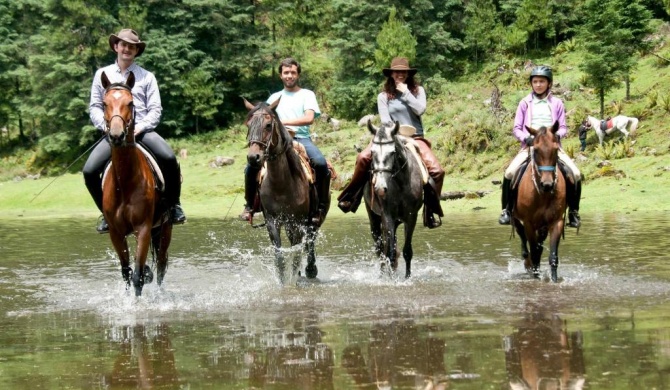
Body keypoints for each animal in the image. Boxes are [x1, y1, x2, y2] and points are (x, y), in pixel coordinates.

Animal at [101, 71, 173, 296]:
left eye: (130, 102)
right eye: (104, 103)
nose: (116, 136)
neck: (124, 182)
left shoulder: (143, 228)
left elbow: (138, 276)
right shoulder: (116, 233)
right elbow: (126, 272)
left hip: (164, 227)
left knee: (161, 265)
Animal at [247, 98, 330, 284]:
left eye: (268, 125)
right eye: (248, 125)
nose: (253, 157)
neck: (281, 185)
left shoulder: (298, 221)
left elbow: (297, 253)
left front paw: (294, 281)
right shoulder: (272, 221)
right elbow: (279, 255)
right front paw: (283, 282)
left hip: (313, 220)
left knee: (310, 242)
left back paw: (310, 270)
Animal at [364, 121, 422, 278]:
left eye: (392, 152)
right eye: (372, 152)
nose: (379, 188)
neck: (401, 183)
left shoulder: (411, 217)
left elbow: (407, 251)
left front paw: (407, 277)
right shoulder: (387, 216)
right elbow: (388, 253)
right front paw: (390, 279)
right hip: (375, 219)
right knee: (381, 250)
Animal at [516, 121, 568, 280]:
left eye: (556, 149)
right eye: (536, 150)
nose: (547, 184)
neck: (542, 195)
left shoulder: (556, 221)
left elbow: (553, 257)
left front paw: (554, 280)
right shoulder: (529, 223)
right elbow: (534, 253)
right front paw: (534, 276)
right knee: (520, 233)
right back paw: (526, 261)